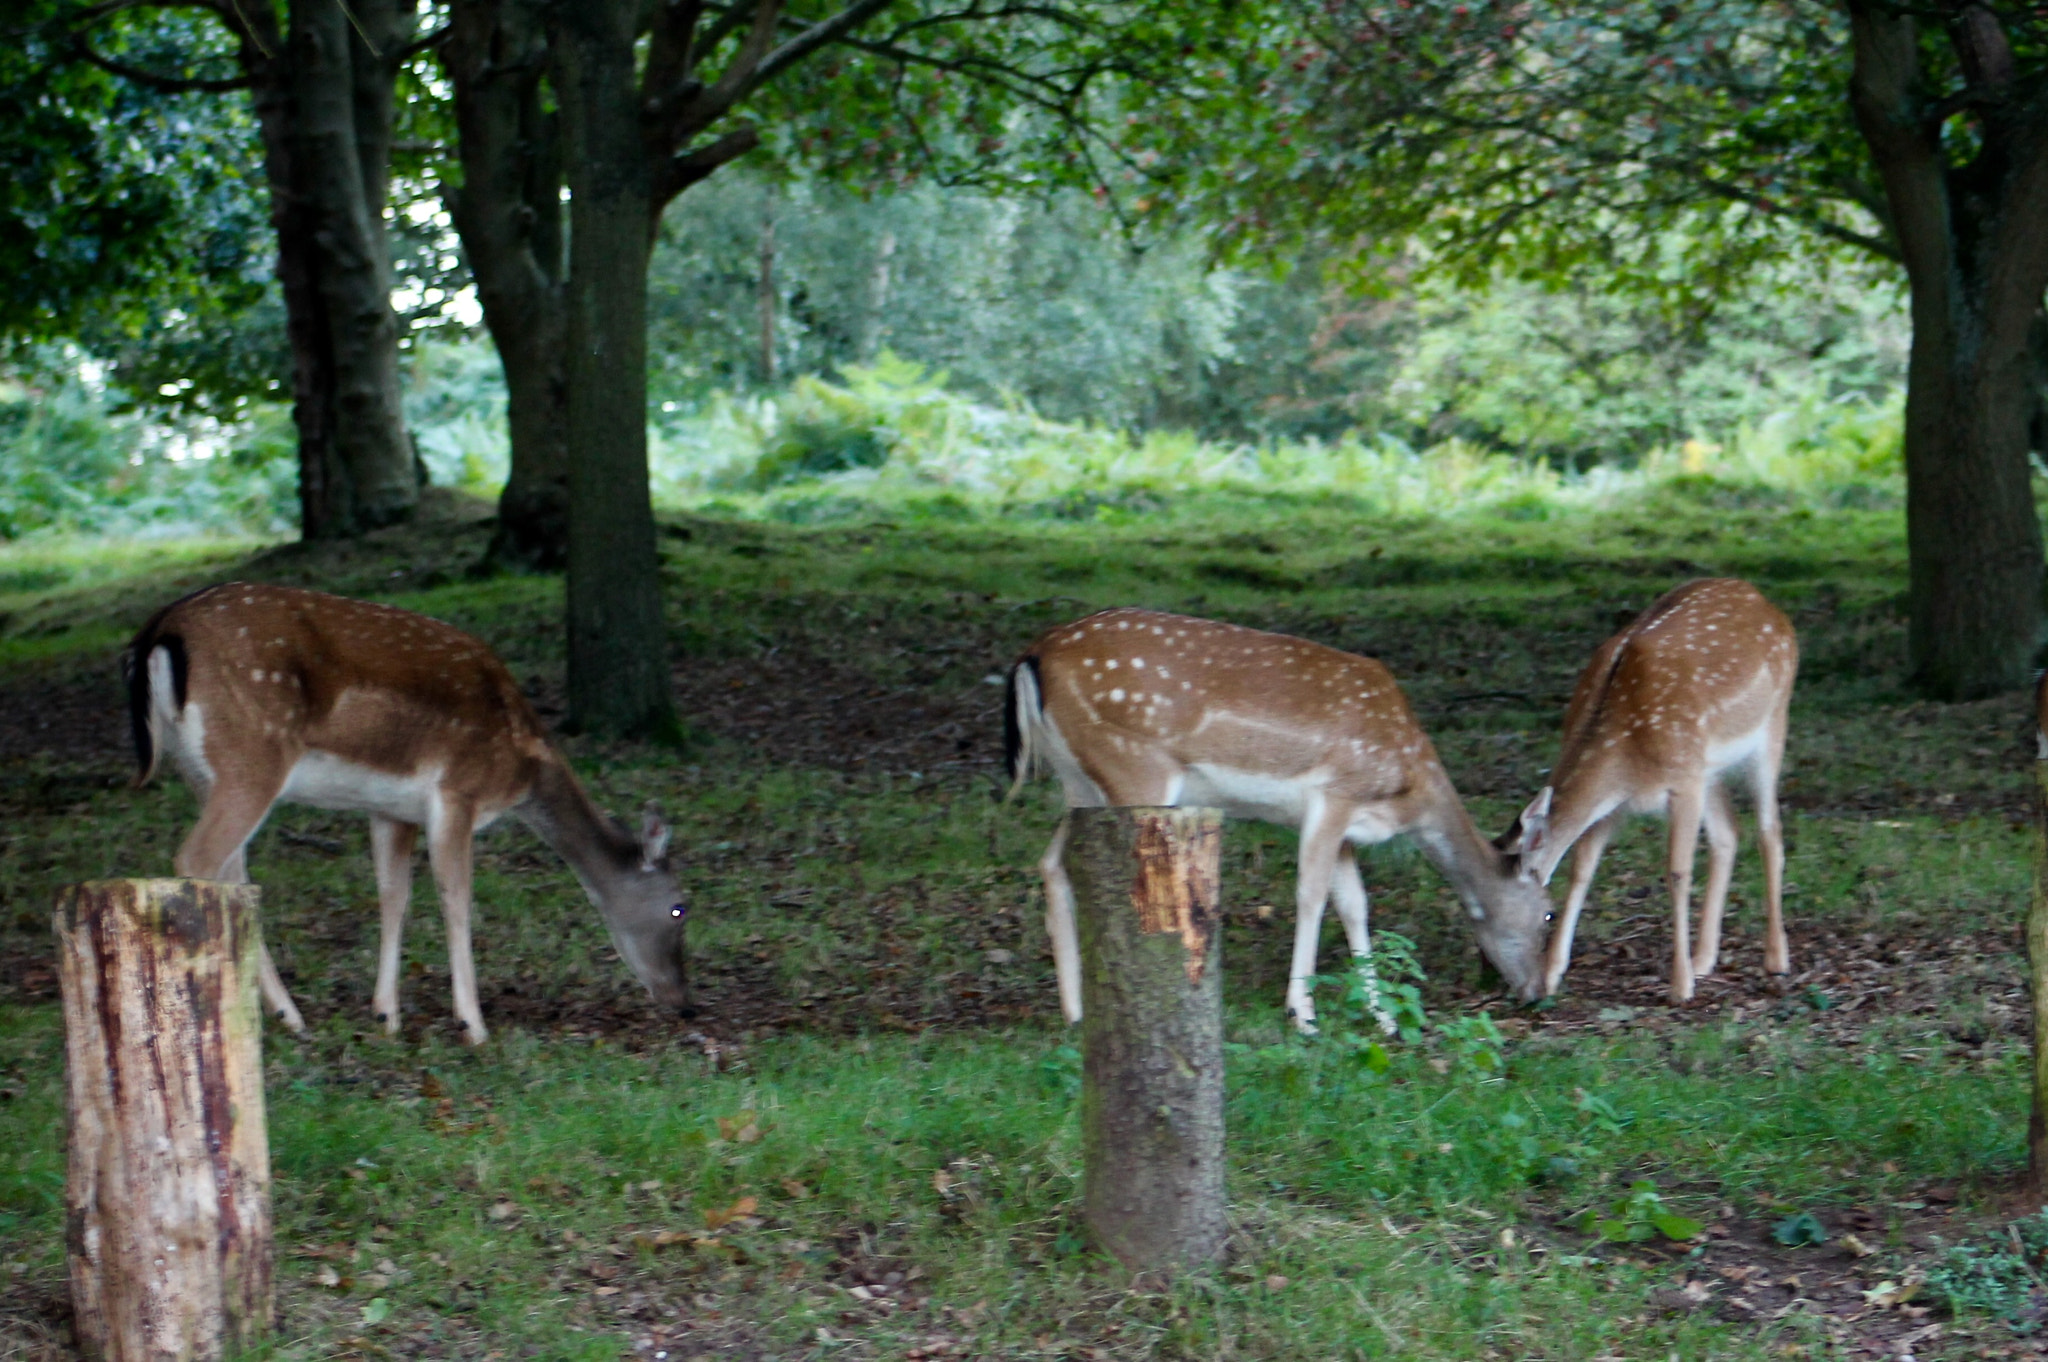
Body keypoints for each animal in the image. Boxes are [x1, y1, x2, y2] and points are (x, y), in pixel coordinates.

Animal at [123, 582, 694, 1044]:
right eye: (679, 907)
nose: (683, 1001)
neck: (524, 766)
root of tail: (160, 628)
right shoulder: (457, 792)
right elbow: (456, 900)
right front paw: (473, 1025)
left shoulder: (390, 810)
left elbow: (393, 895)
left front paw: (386, 1016)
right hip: (252, 757)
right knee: (197, 857)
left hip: (201, 771)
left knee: (233, 872)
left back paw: (282, 1014)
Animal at [1006, 607, 1553, 1034]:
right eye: (1548, 912)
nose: (1538, 991)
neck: (1407, 791)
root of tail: (1034, 654)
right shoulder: (1334, 794)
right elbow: (1311, 895)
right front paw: (1303, 1014)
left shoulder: (1348, 827)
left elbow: (1355, 904)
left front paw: (1382, 1017)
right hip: (1133, 766)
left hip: (1079, 781)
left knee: (1051, 862)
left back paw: (1074, 1013)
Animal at [1500, 578, 1797, 1004]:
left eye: (1540, 914)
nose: (1517, 984)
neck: (1625, 759)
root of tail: (1767, 603)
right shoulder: (1619, 802)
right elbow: (1583, 867)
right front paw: (1554, 975)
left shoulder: (1683, 782)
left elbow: (1677, 872)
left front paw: (1680, 986)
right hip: (1709, 767)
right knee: (1729, 832)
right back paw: (1705, 958)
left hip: (1771, 726)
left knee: (1769, 832)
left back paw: (1775, 959)